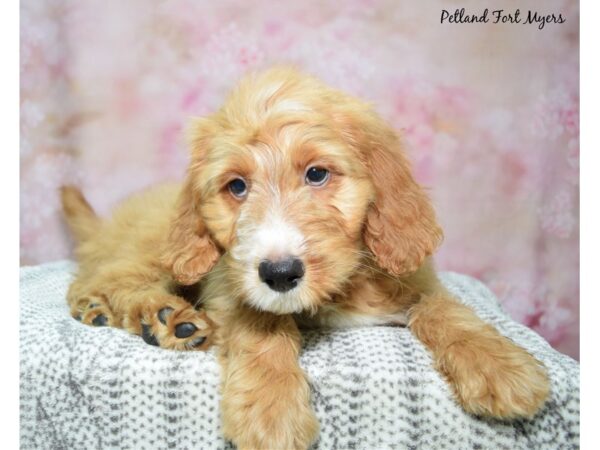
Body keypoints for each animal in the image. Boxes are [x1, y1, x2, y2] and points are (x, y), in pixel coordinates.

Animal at [63, 67, 552, 450]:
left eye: (316, 174)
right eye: (236, 186)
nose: (280, 274)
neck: (341, 290)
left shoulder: (418, 280)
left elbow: (446, 309)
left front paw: (500, 366)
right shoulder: (228, 281)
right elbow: (261, 321)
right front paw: (271, 412)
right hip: (156, 247)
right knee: (105, 277)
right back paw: (158, 315)